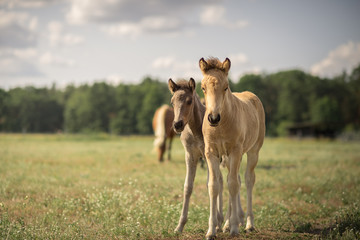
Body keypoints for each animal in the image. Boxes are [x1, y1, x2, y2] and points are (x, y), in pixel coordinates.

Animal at [168, 78, 224, 232]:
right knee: (222, 181)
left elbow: (210, 184)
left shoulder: (209, 156)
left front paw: (215, 223)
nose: (177, 124)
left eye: (189, 101)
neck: (195, 131)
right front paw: (179, 226)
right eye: (172, 102)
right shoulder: (190, 155)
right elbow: (188, 186)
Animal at [198, 57, 266, 239]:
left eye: (226, 87)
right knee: (232, 179)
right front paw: (212, 230)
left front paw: (235, 228)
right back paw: (227, 224)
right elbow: (214, 186)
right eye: (203, 88)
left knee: (248, 180)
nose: (213, 118)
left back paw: (248, 224)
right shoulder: (211, 153)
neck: (220, 127)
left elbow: (234, 185)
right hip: (227, 158)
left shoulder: (236, 151)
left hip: (253, 151)